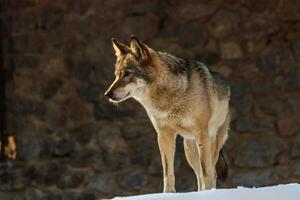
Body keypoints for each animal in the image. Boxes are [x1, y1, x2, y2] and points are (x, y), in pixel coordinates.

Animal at [104, 35, 231, 192]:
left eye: (127, 74)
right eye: (116, 75)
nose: (107, 94)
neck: (169, 96)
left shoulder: (201, 133)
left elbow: (207, 171)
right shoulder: (164, 135)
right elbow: (167, 172)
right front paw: (168, 193)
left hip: (210, 143)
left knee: (211, 172)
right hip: (189, 149)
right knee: (199, 175)